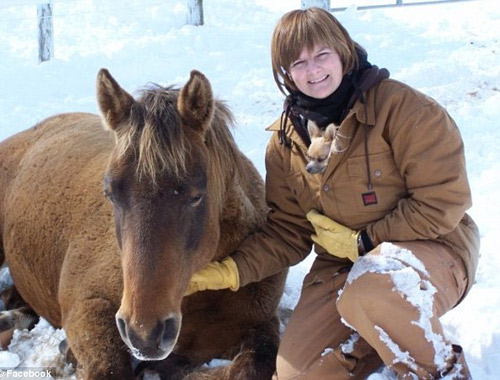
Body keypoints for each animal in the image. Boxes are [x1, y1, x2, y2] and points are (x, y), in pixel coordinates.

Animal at [0, 70, 288, 378]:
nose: (145, 333)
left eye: (196, 196)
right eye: (109, 194)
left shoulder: (259, 324)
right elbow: (109, 368)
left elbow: (255, 364)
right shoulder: (88, 307)